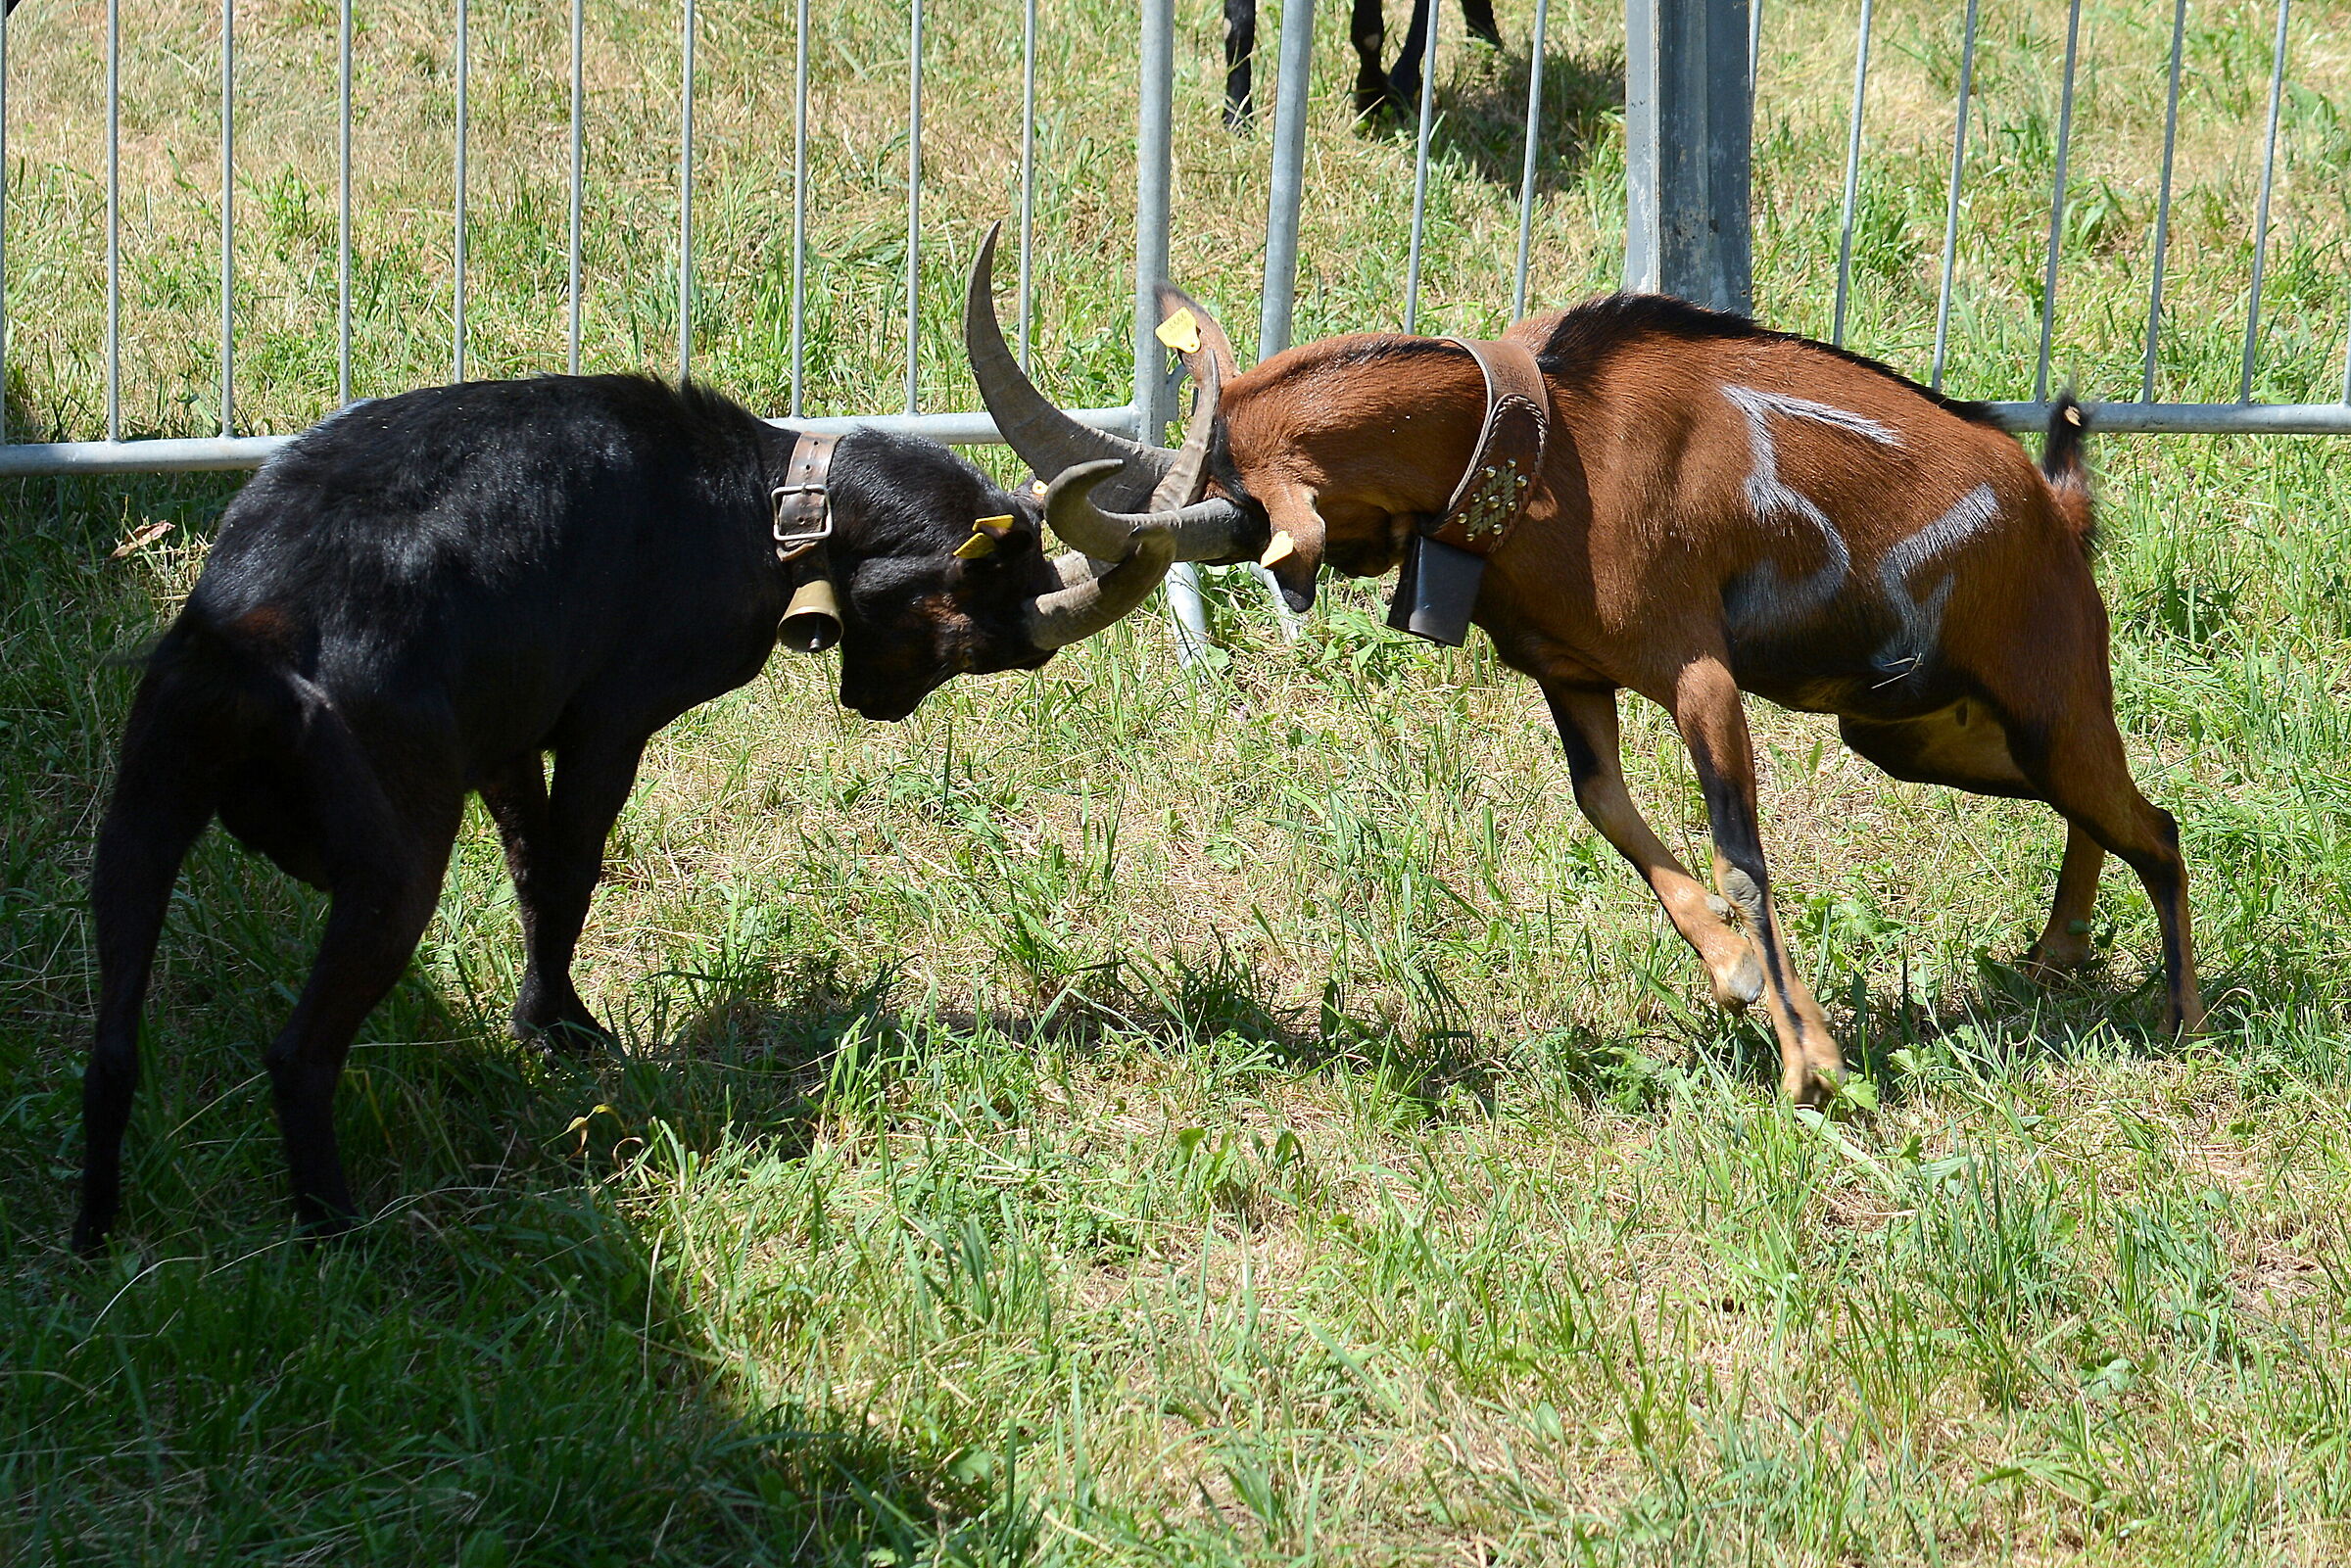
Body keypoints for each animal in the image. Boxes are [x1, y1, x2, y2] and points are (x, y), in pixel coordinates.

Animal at [75, 364, 1241, 1250]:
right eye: (972, 635)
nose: (877, 708)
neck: (758, 500)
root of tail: (248, 635)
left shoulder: (507, 739)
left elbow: (531, 866)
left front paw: (543, 1023)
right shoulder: (608, 722)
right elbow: (571, 871)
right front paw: (562, 1027)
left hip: (135, 827)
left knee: (113, 1040)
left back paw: (96, 1233)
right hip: (394, 866)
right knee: (299, 1053)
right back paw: (338, 1230)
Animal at [970, 266, 2202, 1105]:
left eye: (1231, 510)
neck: (1557, 448)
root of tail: (2060, 507)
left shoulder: (1699, 673)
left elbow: (1741, 853)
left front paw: (1810, 1060)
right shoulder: (1574, 676)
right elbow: (1606, 808)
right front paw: (1733, 974)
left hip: (2042, 699)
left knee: (2160, 827)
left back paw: (2184, 1016)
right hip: (1921, 730)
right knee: (2109, 814)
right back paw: (2058, 949)